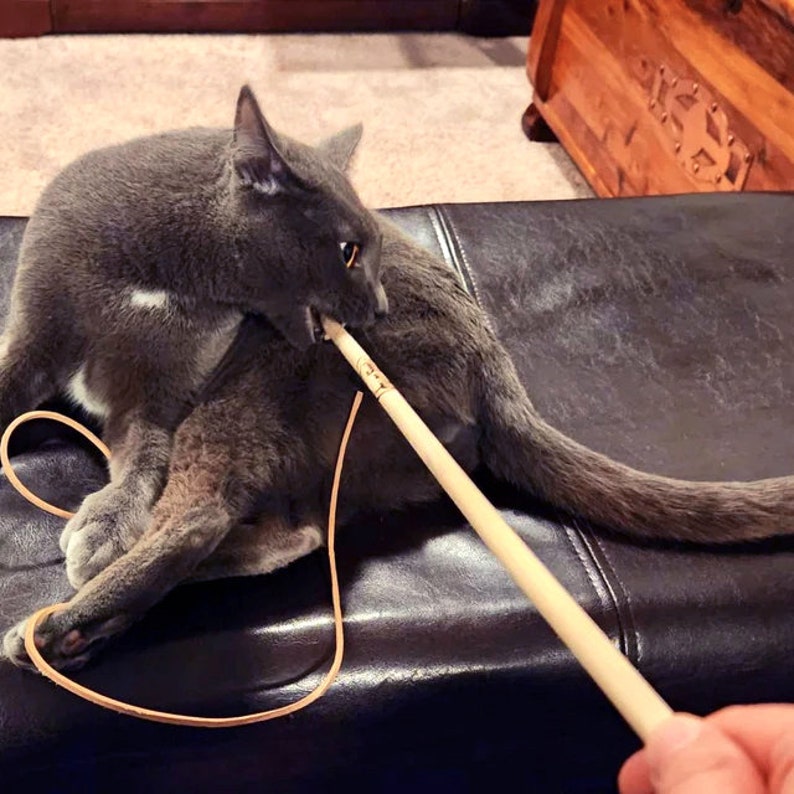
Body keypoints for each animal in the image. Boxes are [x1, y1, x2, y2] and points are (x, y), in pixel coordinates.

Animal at [1, 86, 792, 668]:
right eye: (350, 250)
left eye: (374, 248)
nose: (377, 307)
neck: (163, 275)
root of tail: (497, 372)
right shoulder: (38, 332)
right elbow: (18, 378)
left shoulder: (164, 401)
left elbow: (142, 463)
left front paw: (101, 529)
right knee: (294, 532)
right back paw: (79, 631)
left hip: (264, 374)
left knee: (210, 516)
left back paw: (56, 627)